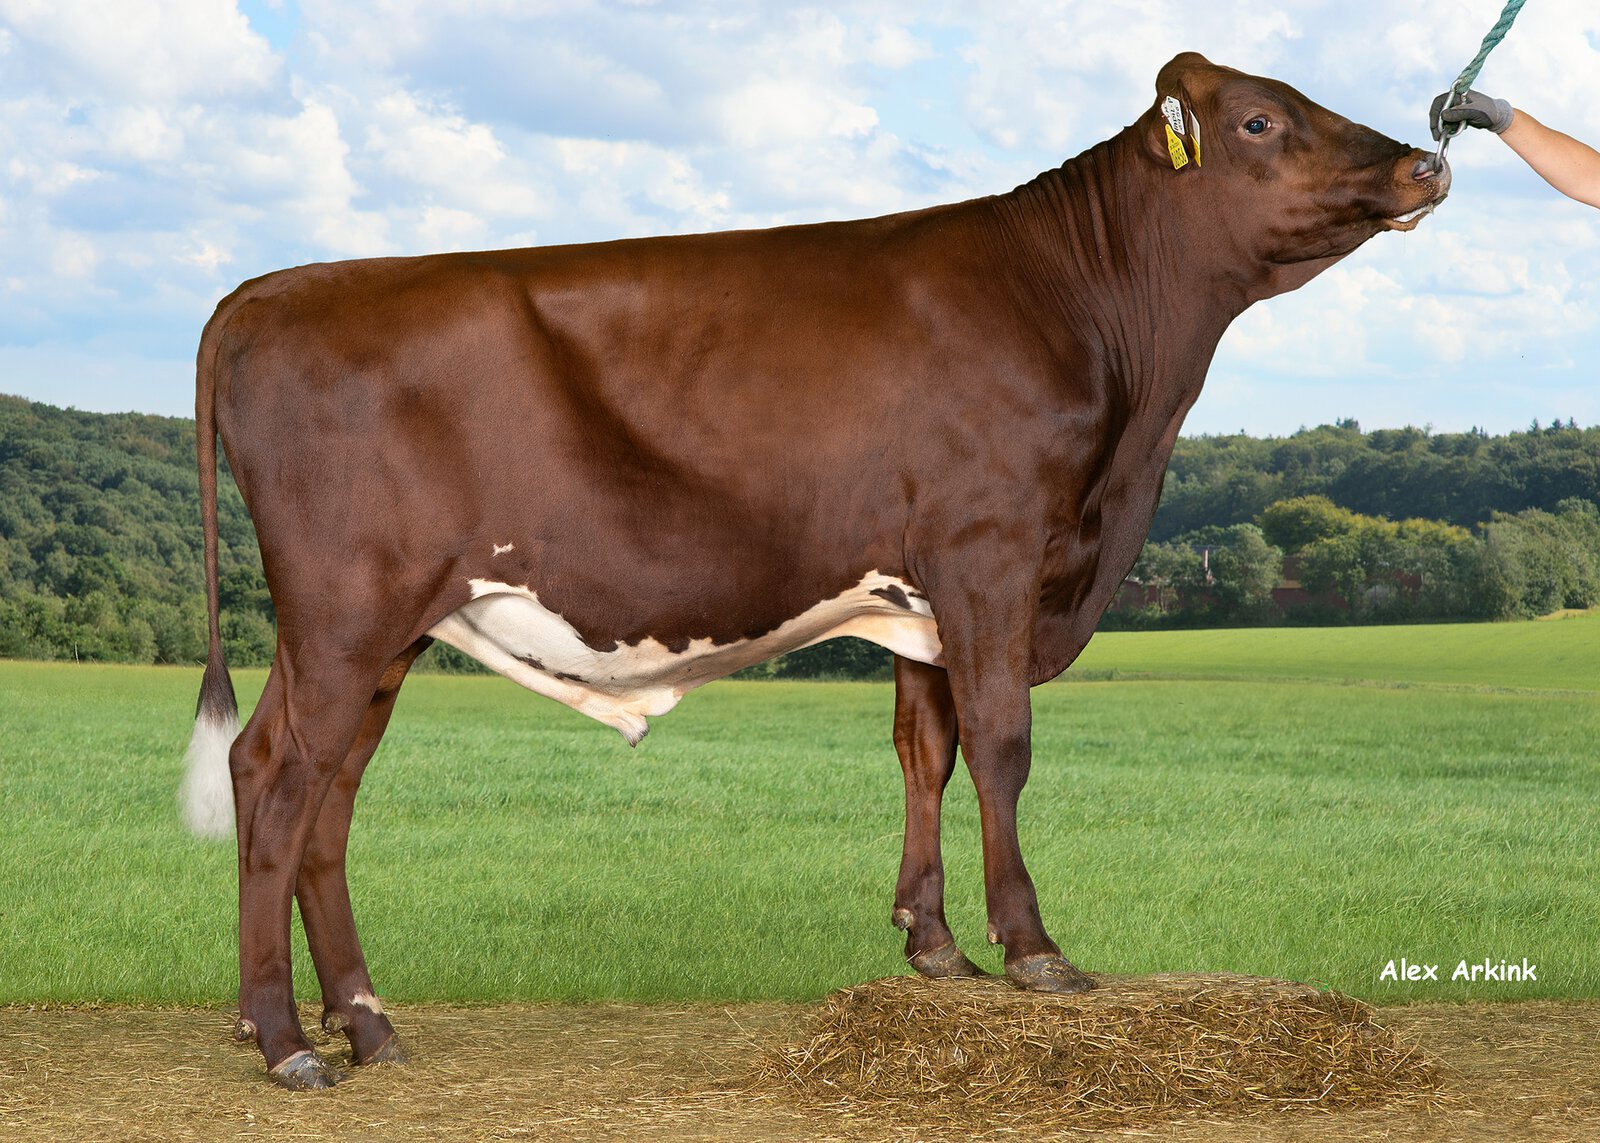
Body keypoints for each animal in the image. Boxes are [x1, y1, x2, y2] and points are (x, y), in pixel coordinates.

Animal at [181, 53, 1448, 1088]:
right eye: (1258, 120)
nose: (1426, 160)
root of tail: (263, 291)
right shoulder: (992, 551)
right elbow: (1001, 744)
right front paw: (1033, 950)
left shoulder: (924, 590)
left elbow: (925, 749)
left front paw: (934, 947)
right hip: (348, 609)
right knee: (286, 779)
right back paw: (287, 1043)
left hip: (377, 630)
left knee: (313, 787)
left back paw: (363, 1022)